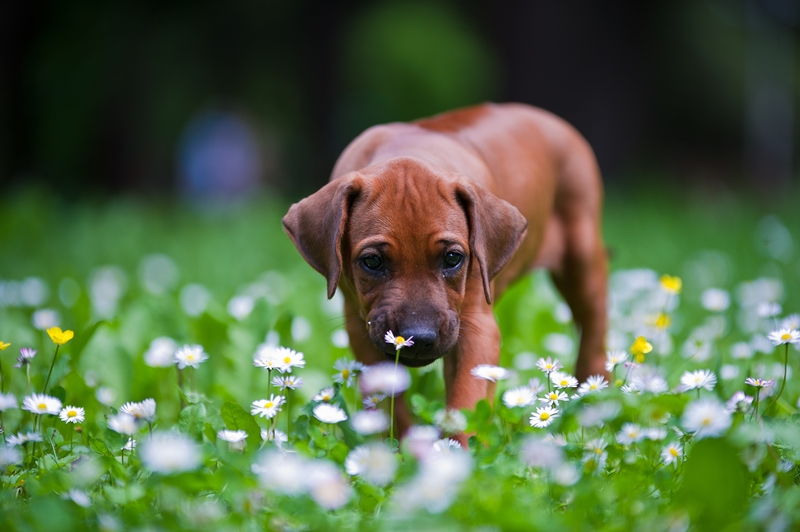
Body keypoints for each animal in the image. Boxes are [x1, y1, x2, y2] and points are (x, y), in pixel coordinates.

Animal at [282, 102, 608, 438]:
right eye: (372, 262)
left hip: (581, 257)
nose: (419, 337)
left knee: (594, 325)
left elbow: (465, 407)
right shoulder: (361, 329)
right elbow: (388, 405)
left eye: (453, 258)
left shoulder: (477, 329)